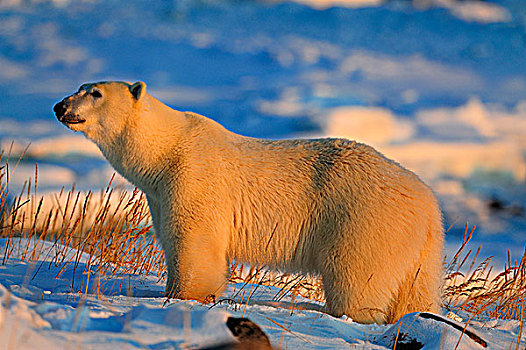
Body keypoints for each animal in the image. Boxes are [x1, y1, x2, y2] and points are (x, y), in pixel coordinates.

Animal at [54, 80, 446, 324]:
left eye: (95, 93)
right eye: (79, 87)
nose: (59, 106)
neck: (163, 151)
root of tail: (427, 202)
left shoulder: (193, 177)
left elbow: (194, 242)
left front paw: (185, 298)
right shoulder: (159, 193)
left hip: (362, 219)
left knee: (355, 278)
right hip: (418, 247)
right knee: (415, 291)